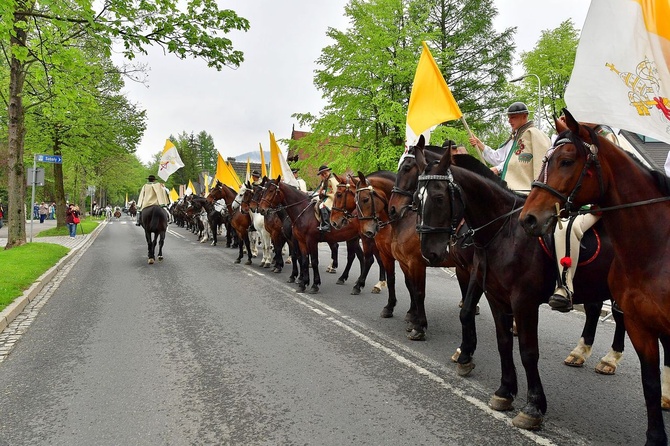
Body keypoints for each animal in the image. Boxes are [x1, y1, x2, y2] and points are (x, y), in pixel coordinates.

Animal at [418, 140, 628, 432]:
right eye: (418, 199)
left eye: (438, 198)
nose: (430, 253)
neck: (504, 233)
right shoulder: (495, 297)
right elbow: (503, 342)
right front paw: (504, 392)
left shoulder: (523, 302)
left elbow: (528, 352)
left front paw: (534, 406)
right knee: (598, 309)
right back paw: (581, 353)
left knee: (619, 317)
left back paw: (611, 360)